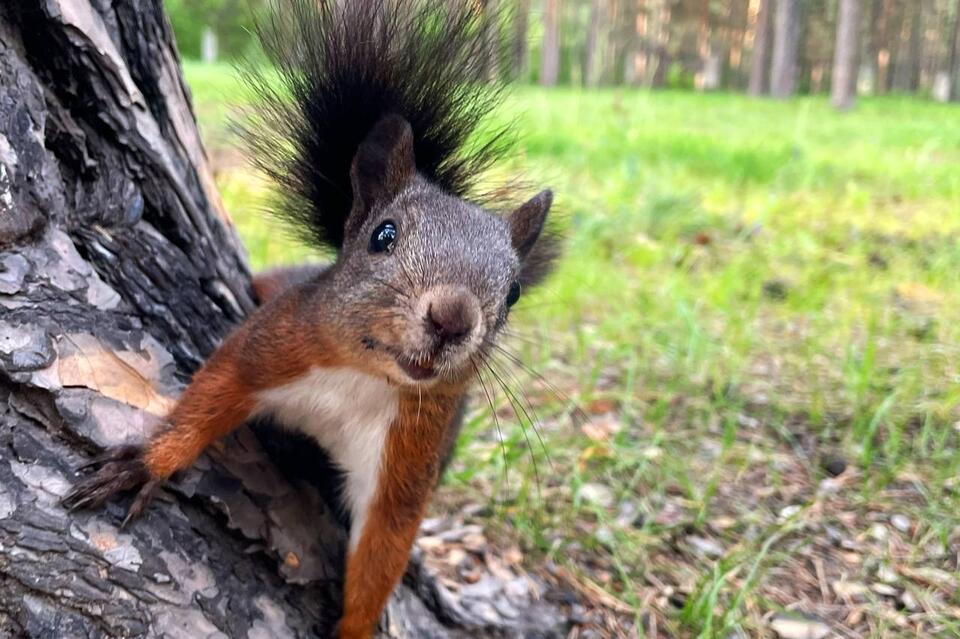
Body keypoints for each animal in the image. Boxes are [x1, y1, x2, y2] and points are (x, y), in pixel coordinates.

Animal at [62, 1, 556, 639]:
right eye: (383, 237)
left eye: (515, 291)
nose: (452, 319)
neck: (364, 377)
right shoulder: (276, 341)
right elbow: (211, 394)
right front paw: (151, 462)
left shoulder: (407, 454)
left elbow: (384, 546)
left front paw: (355, 627)